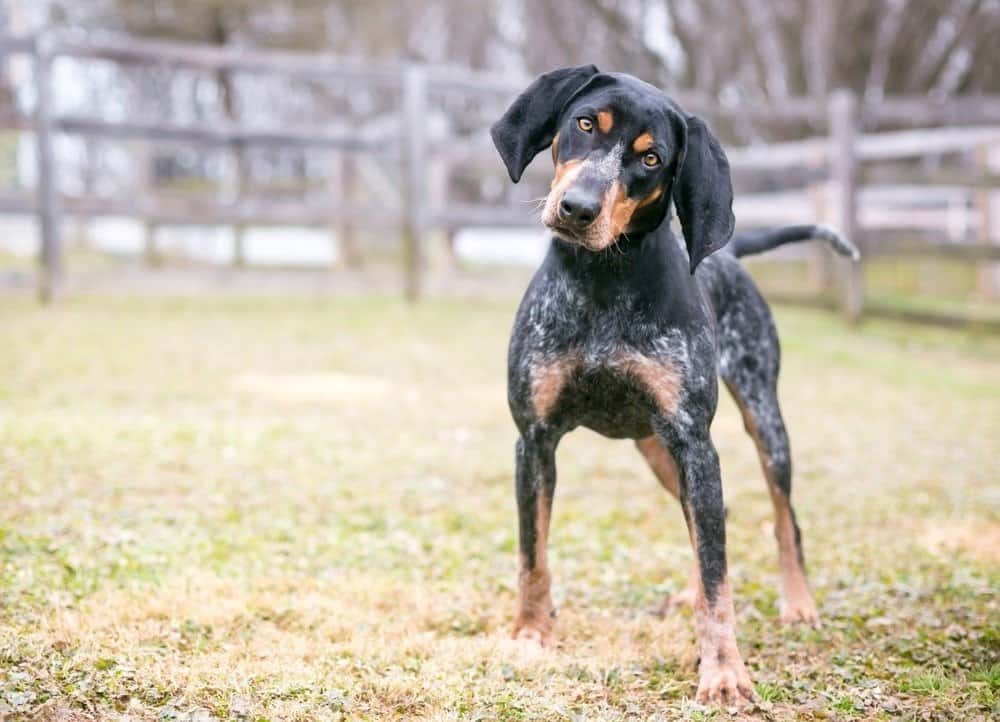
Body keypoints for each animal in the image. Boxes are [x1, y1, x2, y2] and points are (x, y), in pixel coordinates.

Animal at [488, 67, 856, 704]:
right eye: (585, 124)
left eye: (652, 158)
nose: (577, 208)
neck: (602, 280)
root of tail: (731, 253)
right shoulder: (533, 441)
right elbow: (533, 554)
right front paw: (531, 634)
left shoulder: (695, 442)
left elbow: (718, 576)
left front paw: (724, 670)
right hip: (656, 449)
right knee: (715, 519)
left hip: (762, 423)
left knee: (782, 519)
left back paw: (798, 602)